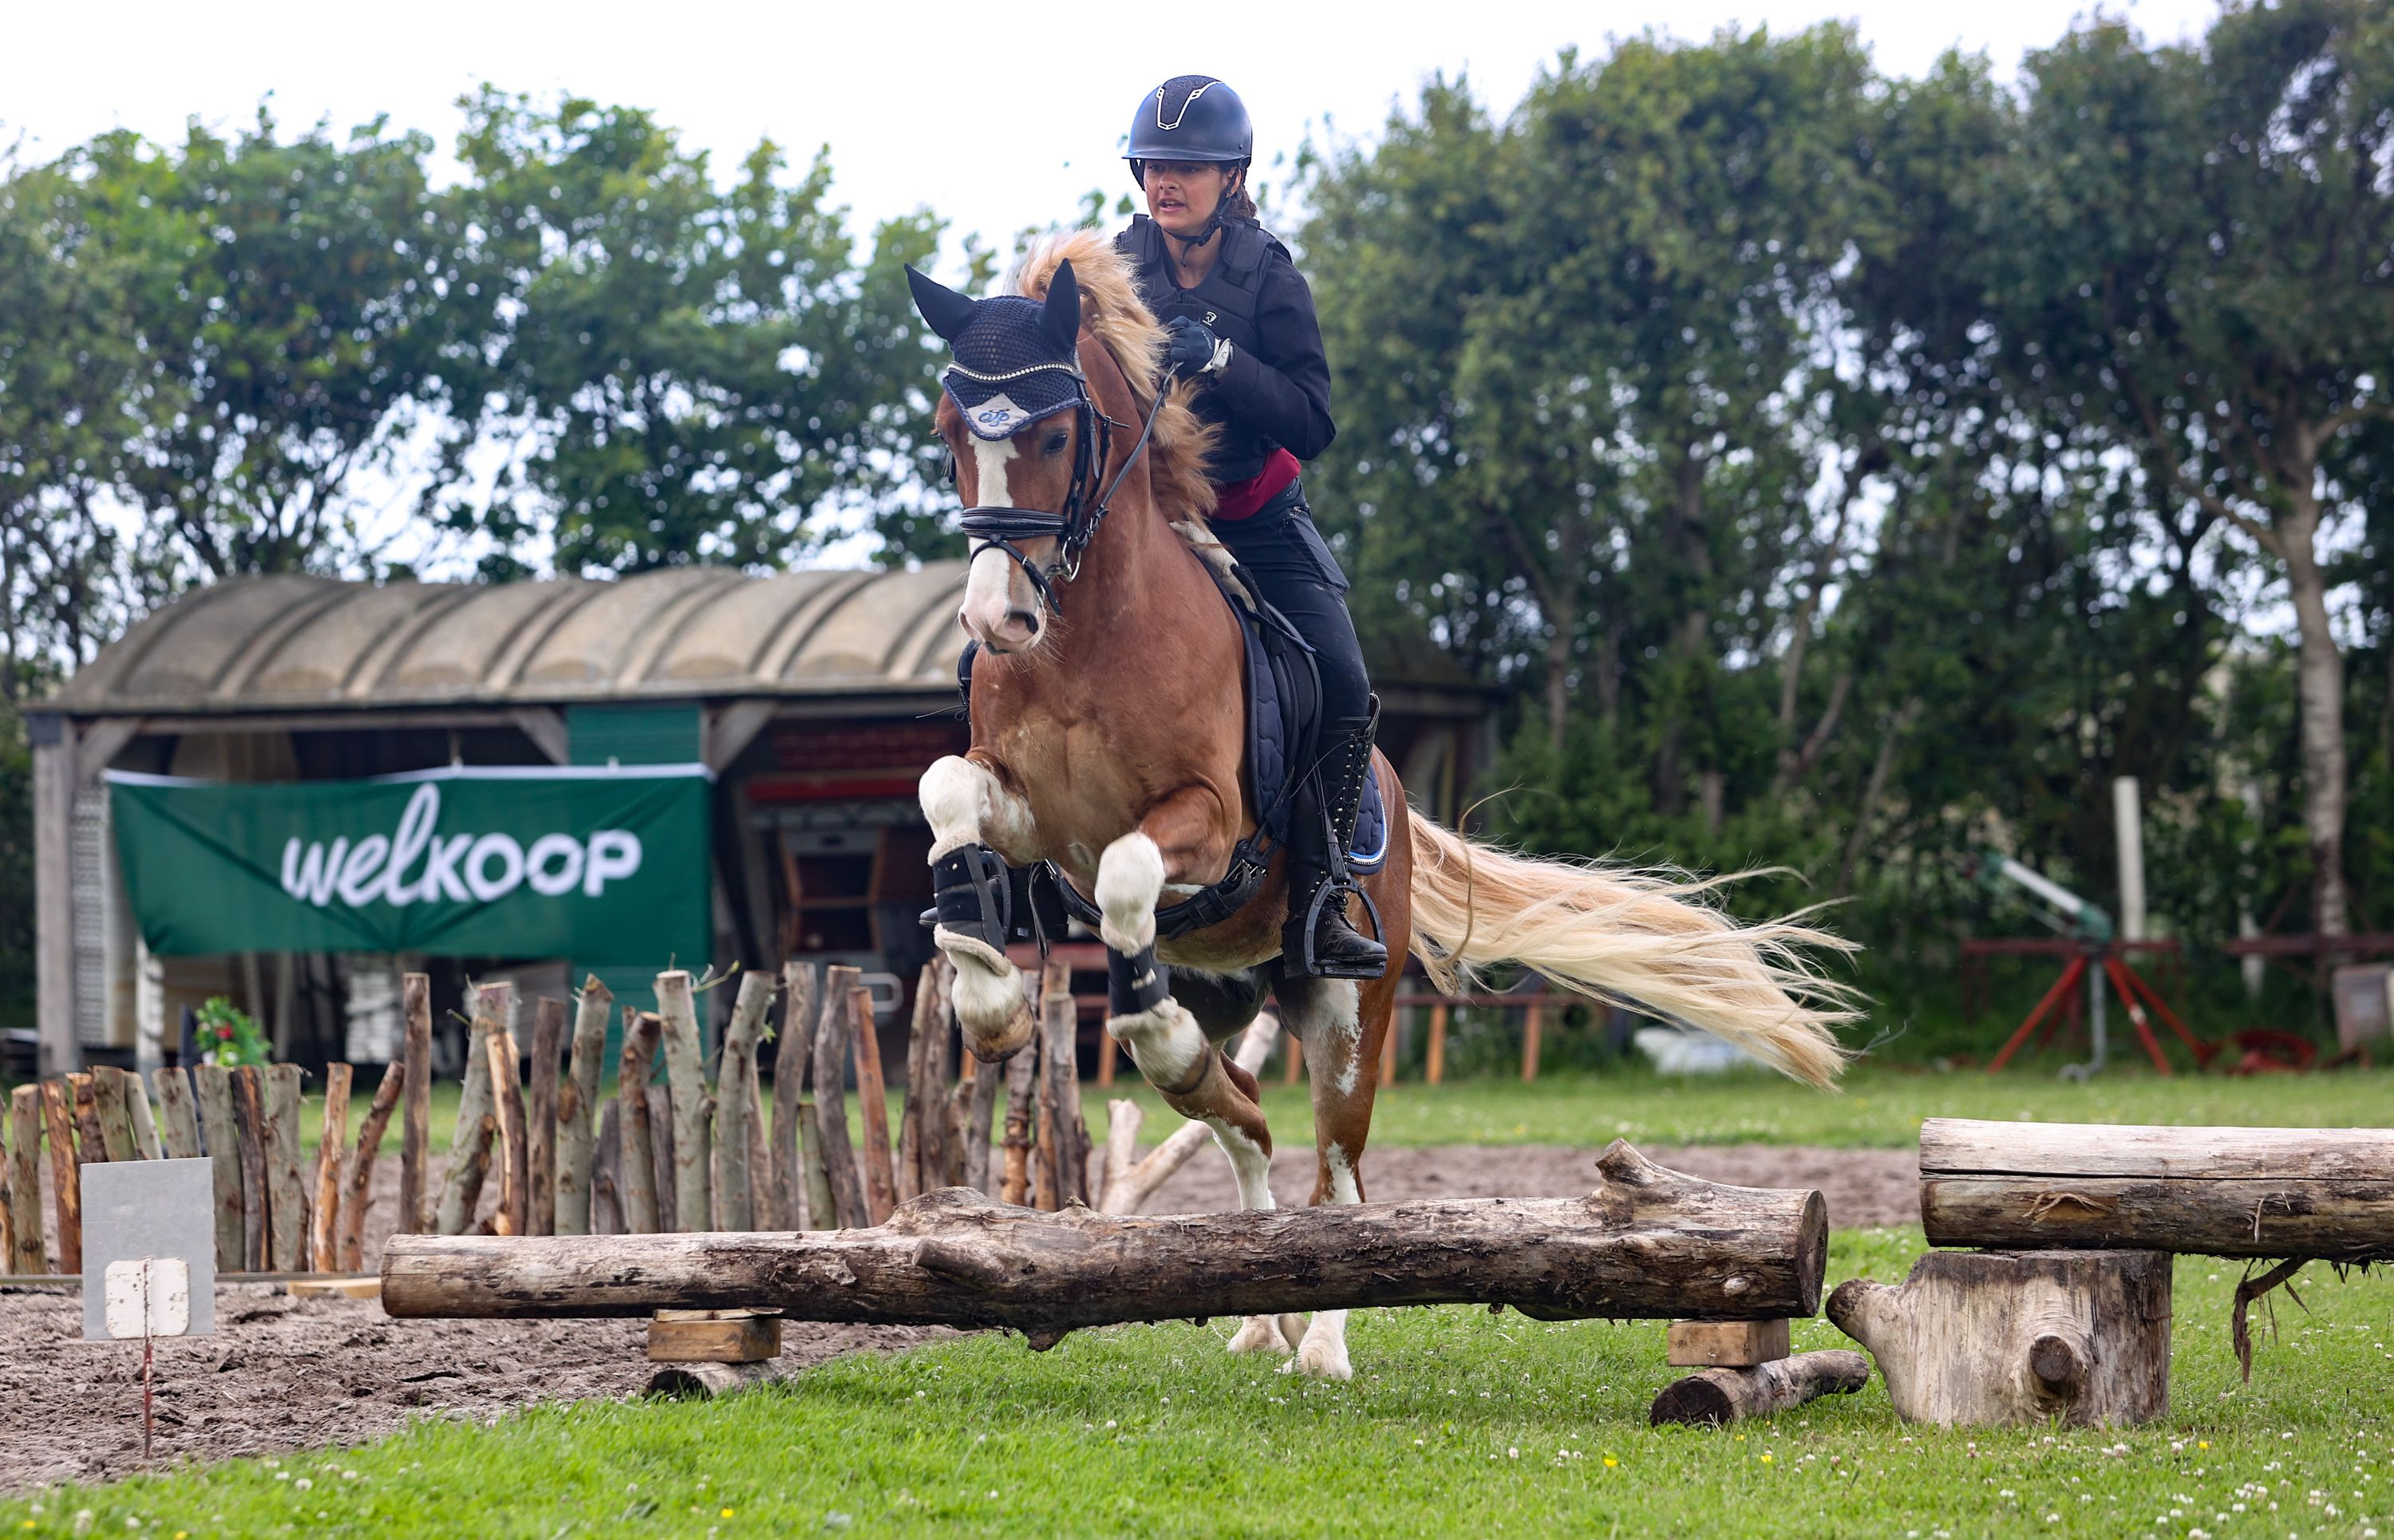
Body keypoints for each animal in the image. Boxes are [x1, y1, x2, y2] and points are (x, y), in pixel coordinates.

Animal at [908, 231, 1854, 1379]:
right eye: (952, 433)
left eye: (1053, 432)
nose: (995, 619)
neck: (1089, 628)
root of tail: (1398, 809)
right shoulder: (1032, 813)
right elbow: (945, 795)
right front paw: (989, 997)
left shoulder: (1207, 822)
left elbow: (1132, 862)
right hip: (1237, 991)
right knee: (1241, 1121)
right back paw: (1256, 1299)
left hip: (1348, 1000)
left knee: (1337, 1166)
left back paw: (1318, 1337)